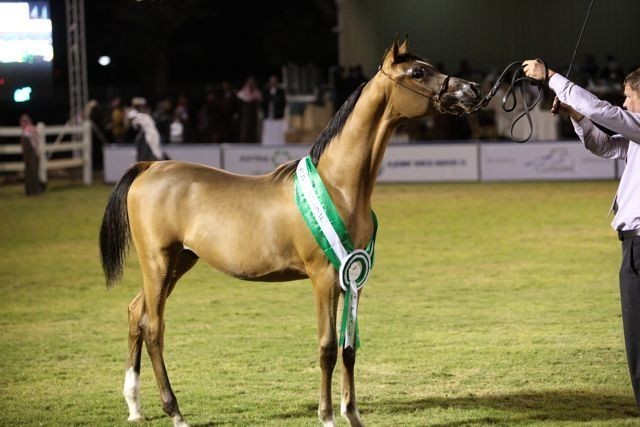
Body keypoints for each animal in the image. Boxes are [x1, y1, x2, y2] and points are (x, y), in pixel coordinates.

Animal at [99, 37, 482, 427]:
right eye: (418, 72)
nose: (472, 90)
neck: (338, 185)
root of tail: (149, 167)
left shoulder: (353, 279)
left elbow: (348, 348)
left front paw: (352, 414)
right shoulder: (325, 279)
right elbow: (327, 348)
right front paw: (327, 416)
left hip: (178, 263)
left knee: (135, 313)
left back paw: (134, 406)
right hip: (159, 264)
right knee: (153, 328)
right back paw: (174, 411)